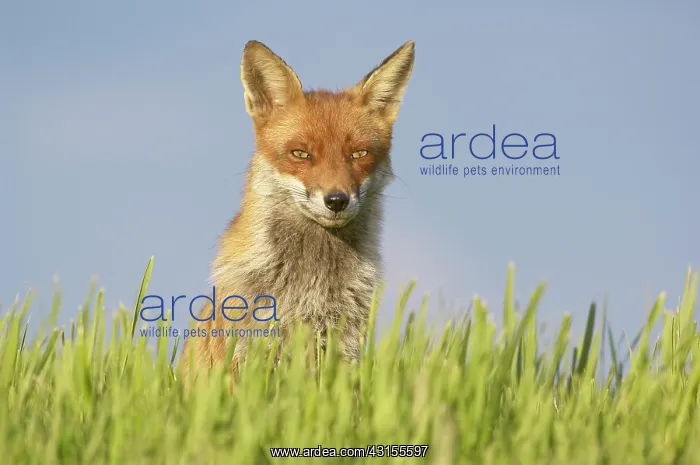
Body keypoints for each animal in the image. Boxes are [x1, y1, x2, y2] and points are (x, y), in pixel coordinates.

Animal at [178, 39, 415, 387]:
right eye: (301, 154)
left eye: (359, 154)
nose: (336, 201)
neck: (310, 287)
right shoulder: (246, 350)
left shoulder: (342, 349)